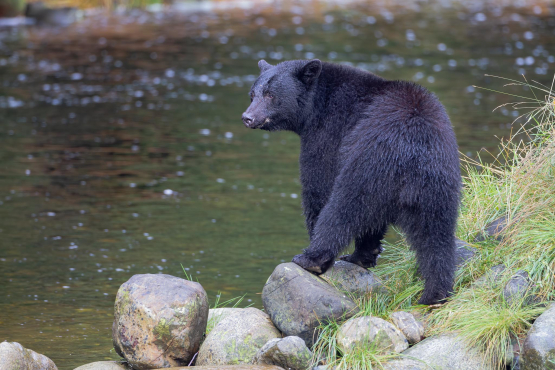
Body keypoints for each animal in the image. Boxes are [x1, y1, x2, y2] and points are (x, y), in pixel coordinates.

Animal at [241, 60, 462, 304]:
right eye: (252, 94)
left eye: (271, 95)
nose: (247, 117)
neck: (316, 105)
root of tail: (414, 147)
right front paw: (364, 256)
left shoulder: (327, 133)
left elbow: (318, 185)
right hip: (438, 186)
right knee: (436, 238)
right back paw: (435, 293)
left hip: (367, 166)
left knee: (343, 208)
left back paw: (311, 259)